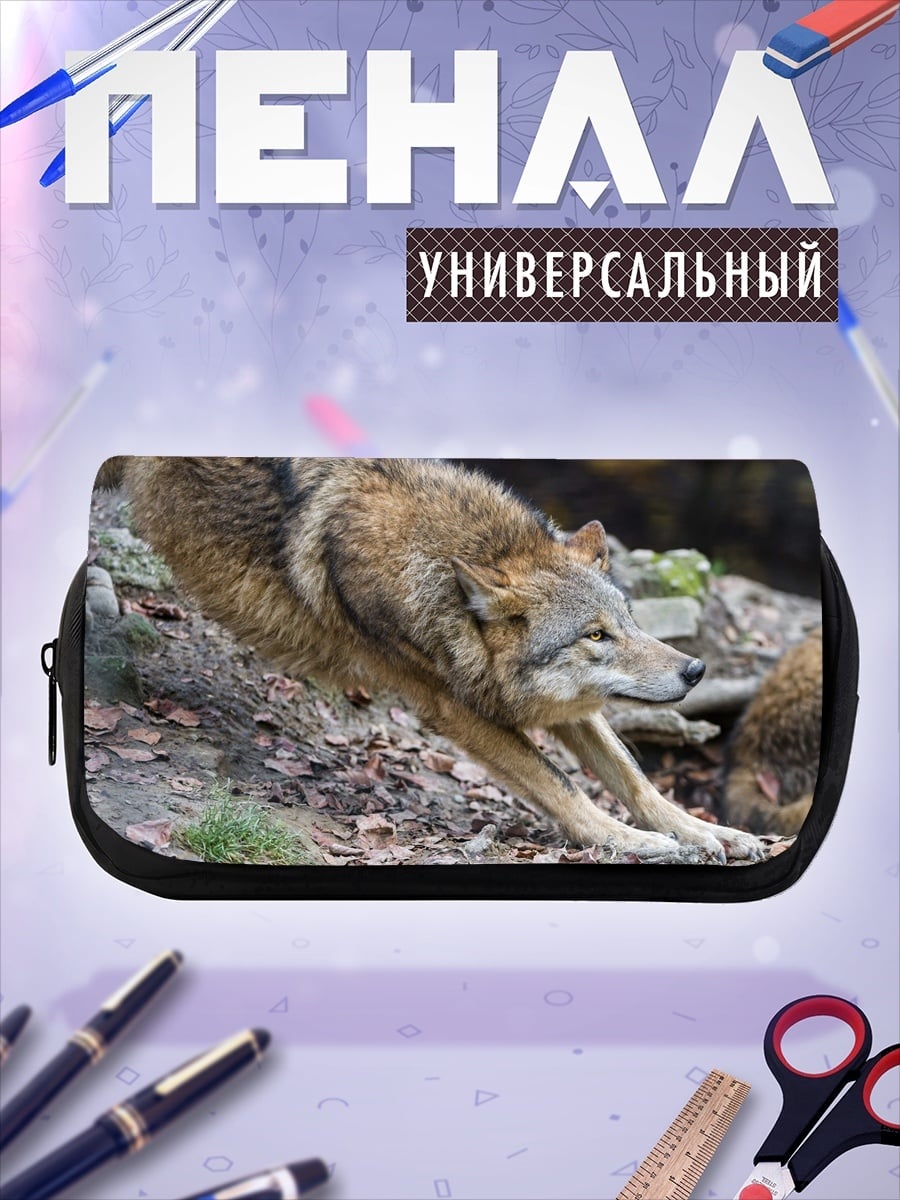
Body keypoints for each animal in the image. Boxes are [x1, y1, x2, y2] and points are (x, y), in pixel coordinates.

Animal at [97, 457, 763, 864]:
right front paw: (634, 843)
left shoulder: (556, 707)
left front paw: (709, 833)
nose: (695, 671)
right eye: (595, 635)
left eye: (628, 622)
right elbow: (564, 784)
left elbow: (634, 776)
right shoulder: (454, 709)